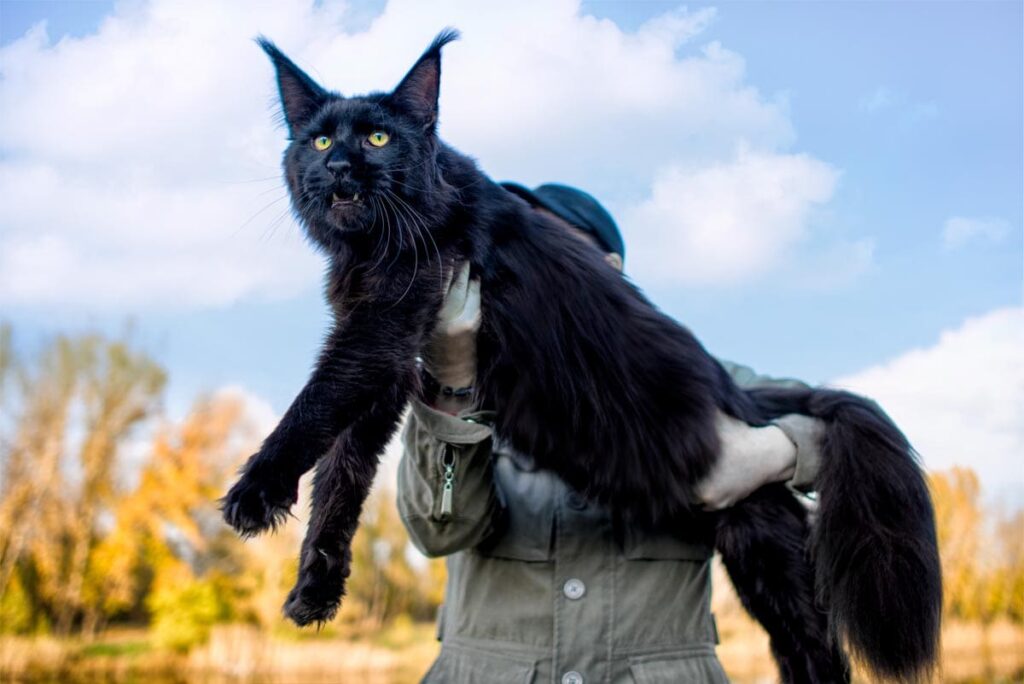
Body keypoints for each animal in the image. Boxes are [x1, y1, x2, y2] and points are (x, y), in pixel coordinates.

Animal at [224, 31, 942, 684]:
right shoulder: (395, 362)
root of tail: (738, 394)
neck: (374, 242)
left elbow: (313, 410)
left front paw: (255, 490)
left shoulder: (380, 331)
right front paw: (316, 587)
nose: (340, 167)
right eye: (320, 141)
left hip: (766, 551)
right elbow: (341, 479)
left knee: (823, 653)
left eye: (377, 138)